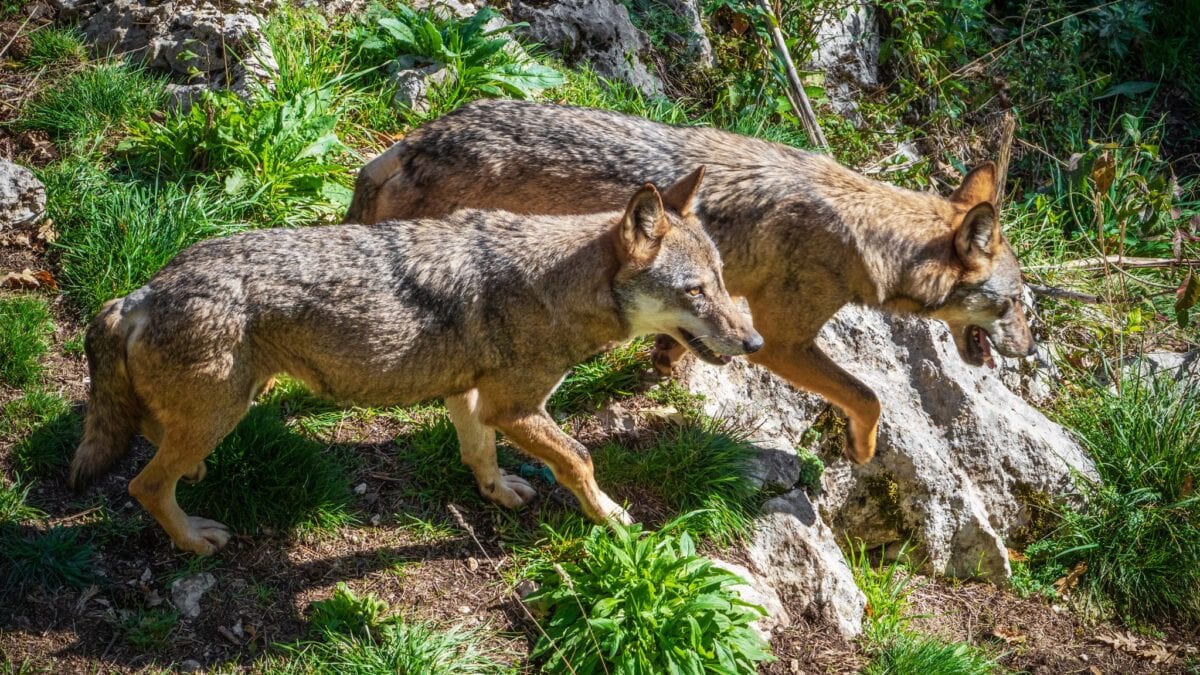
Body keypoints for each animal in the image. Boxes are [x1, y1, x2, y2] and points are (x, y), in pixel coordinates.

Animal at [69, 170, 762, 555]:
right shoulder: (515, 407)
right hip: (225, 409)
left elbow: (479, 453)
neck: (557, 285)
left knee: (152, 438)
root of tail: (141, 292)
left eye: (723, 281)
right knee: (143, 485)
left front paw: (497, 492)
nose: (754, 343)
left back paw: (194, 475)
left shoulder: (471, 396)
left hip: (227, 404)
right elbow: (580, 459)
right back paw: (193, 540)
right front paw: (613, 520)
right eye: (695, 291)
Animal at [345, 99, 1035, 465]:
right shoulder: (783, 343)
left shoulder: (723, 308)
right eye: (1015, 305)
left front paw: (663, 361)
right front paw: (862, 453)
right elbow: (869, 397)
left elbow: (685, 338)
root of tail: (411, 142)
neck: (860, 231)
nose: (1031, 350)